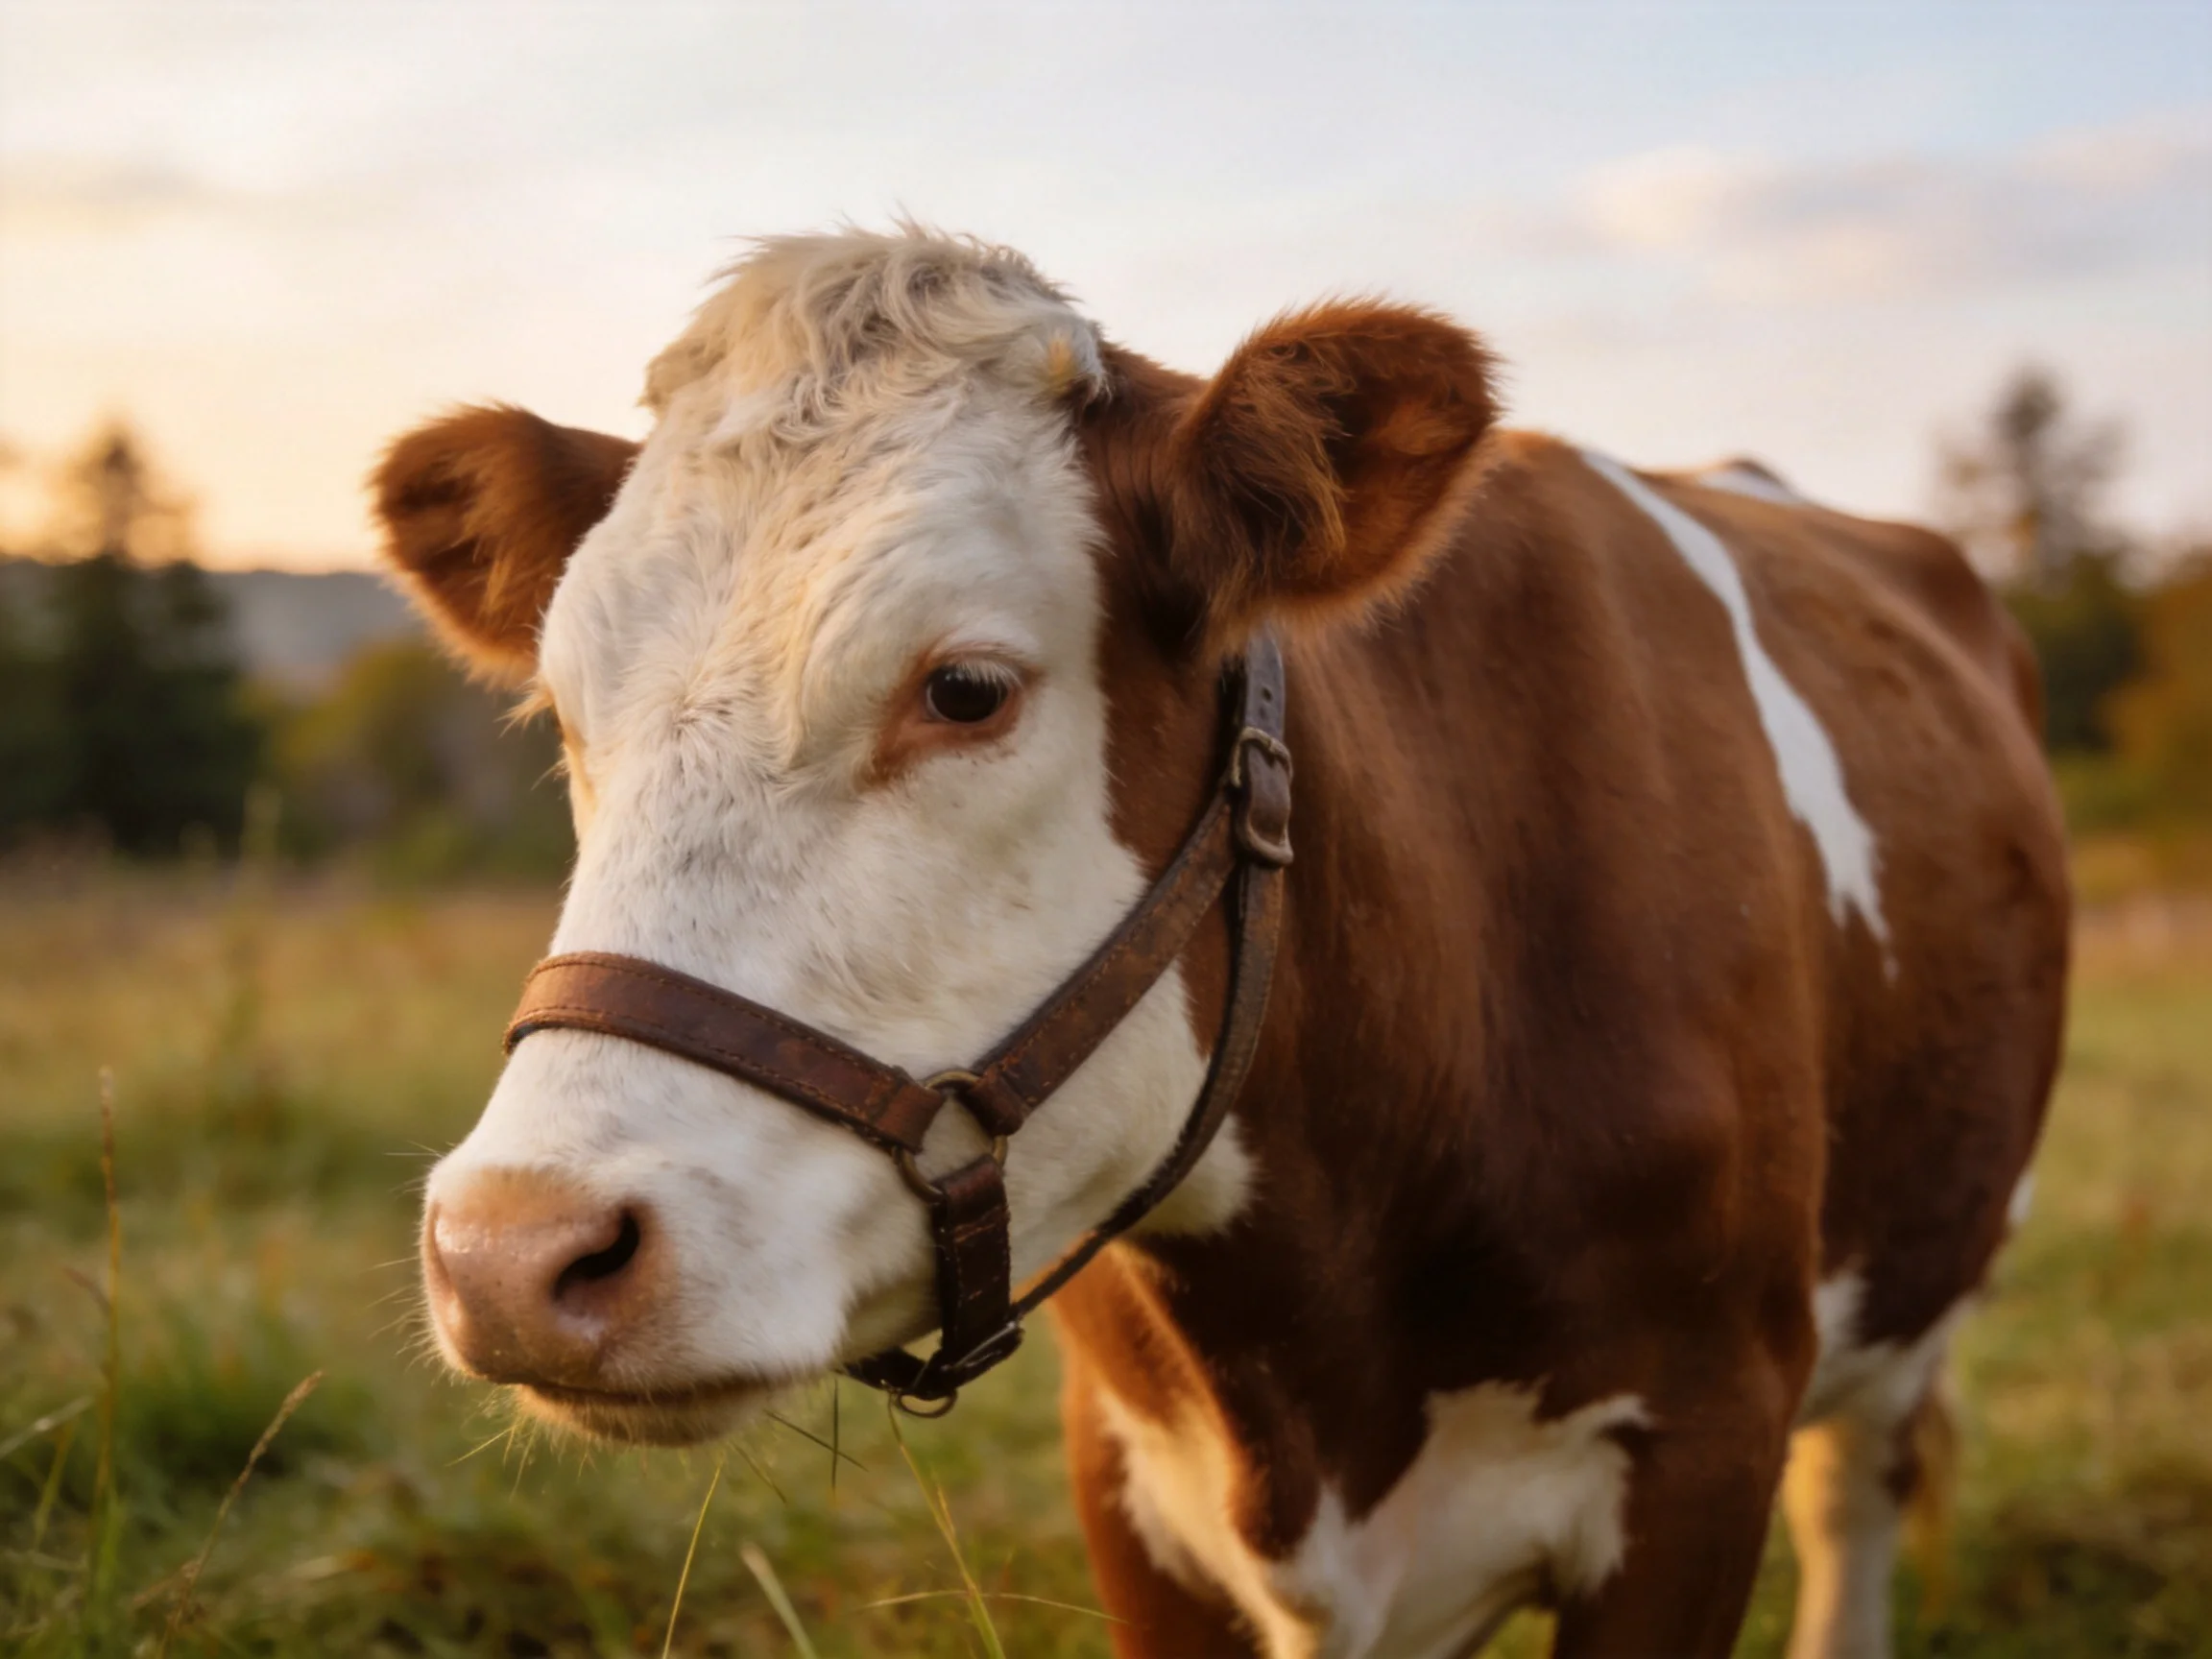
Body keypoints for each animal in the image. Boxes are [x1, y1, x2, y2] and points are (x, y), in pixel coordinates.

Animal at [374, 228, 2068, 1659]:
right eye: (564, 714)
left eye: (967, 689)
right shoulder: (1131, 1492)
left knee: (1856, 1502)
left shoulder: (1704, 1449)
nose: (514, 1252)